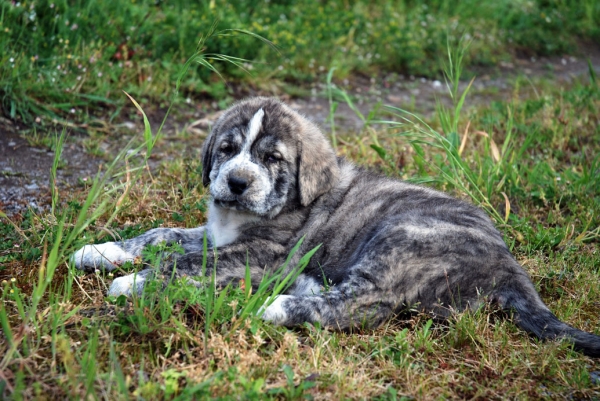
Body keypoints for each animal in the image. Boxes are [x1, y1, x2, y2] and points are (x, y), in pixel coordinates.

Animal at [71, 97, 600, 356]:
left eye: (272, 158)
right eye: (227, 149)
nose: (237, 183)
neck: (245, 214)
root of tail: (510, 267)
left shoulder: (263, 253)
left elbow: (186, 262)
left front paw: (133, 282)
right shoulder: (217, 234)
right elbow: (162, 236)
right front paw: (101, 251)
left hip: (402, 236)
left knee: (364, 305)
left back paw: (274, 305)